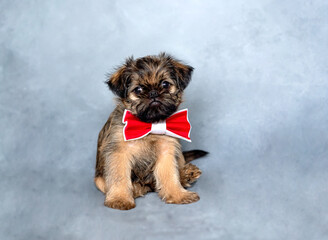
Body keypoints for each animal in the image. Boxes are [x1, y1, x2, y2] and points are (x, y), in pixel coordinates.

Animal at [95, 53, 208, 210]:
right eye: (138, 90)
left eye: (165, 84)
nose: (153, 93)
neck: (150, 125)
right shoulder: (118, 152)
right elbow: (119, 176)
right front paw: (120, 198)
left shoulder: (167, 150)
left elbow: (169, 175)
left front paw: (178, 195)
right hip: (99, 180)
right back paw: (137, 188)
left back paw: (186, 174)